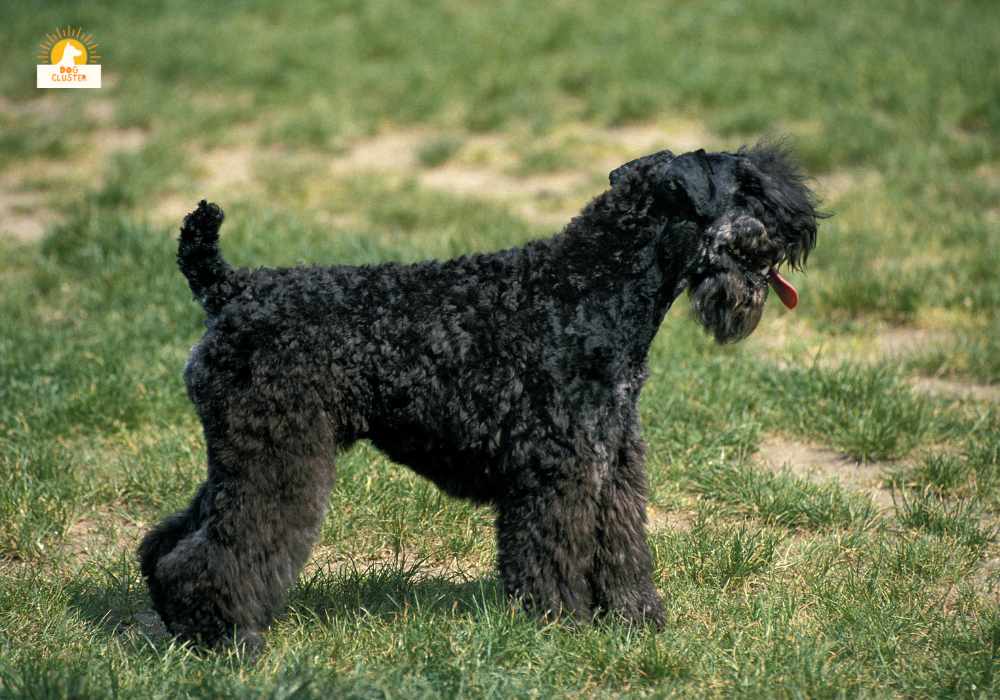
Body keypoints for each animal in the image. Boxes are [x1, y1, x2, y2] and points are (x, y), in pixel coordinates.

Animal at [139, 142, 820, 652]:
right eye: (749, 186)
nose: (804, 223)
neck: (591, 287)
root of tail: (231, 290)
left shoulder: (613, 460)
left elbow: (622, 545)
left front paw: (635, 620)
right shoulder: (560, 467)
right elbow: (552, 550)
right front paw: (561, 626)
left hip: (243, 453)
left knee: (175, 537)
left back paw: (180, 620)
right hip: (278, 455)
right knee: (225, 546)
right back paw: (225, 636)